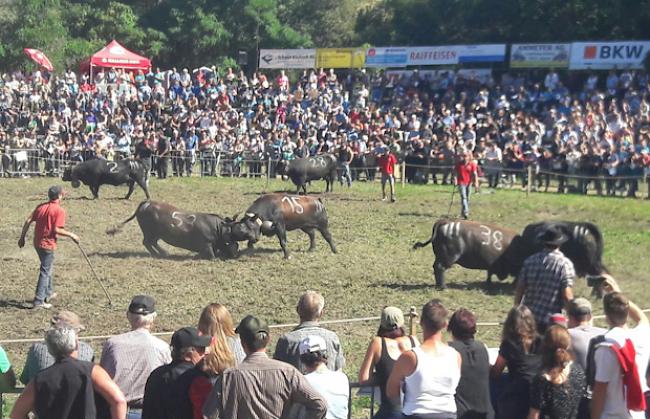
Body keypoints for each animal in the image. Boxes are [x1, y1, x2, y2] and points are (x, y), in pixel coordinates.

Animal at [105, 201, 260, 260]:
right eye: (246, 226)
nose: (256, 238)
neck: (220, 227)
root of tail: (146, 203)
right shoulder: (206, 244)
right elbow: (211, 254)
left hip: (156, 233)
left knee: (151, 242)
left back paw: (163, 253)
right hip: (149, 231)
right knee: (147, 242)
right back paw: (160, 254)